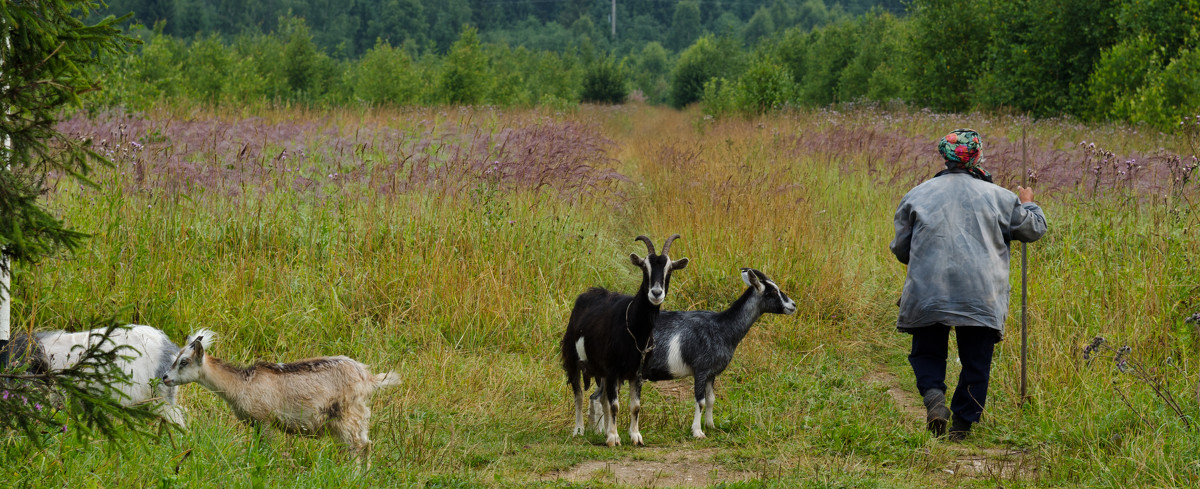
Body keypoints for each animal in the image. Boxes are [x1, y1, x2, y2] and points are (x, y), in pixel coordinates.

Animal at [559, 234, 691, 445]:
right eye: (644, 268)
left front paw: (634, 436)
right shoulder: (613, 369)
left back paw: (603, 431)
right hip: (573, 359)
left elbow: (634, 406)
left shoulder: (637, 373)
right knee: (579, 395)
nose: (656, 293)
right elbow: (615, 405)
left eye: (669, 269)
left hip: (603, 371)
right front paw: (614, 438)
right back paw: (579, 430)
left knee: (602, 398)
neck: (636, 331)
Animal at [592, 269, 796, 436]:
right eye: (772, 292)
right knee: (598, 398)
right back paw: (599, 431)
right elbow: (700, 400)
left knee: (598, 397)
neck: (722, 328)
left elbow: (711, 399)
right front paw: (697, 431)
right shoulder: (701, 370)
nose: (793, 305)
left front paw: (711, 426)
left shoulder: (712, 374)